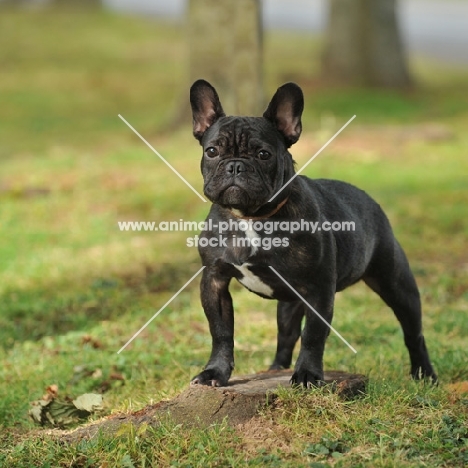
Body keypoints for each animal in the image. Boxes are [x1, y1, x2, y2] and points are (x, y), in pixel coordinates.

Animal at [188, 79, 436, 388]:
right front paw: (215, 372)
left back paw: (424, 374)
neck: (251, 217)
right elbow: (221, 332)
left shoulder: (318, 289)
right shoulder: (214, 281)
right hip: (289, 302)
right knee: (286, 334)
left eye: (263, 154)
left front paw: (307, 374)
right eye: (212, 151)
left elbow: (314, 335)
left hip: (396, 283)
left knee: (414, 332)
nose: (235, 165)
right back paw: (275, 369)